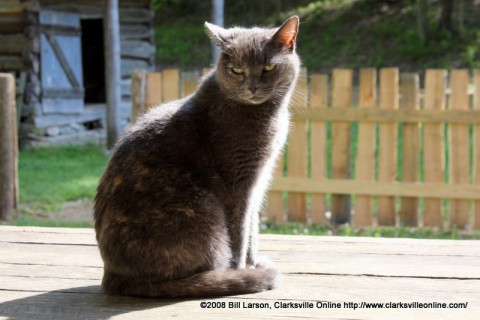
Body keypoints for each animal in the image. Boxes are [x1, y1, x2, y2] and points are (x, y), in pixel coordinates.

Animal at [94, 16, 300, 298]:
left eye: (269, 67)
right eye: (237, 70)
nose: (252, 87)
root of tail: (113, 277)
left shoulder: (259, 182)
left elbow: (253, 230)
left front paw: (252, 263)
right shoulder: (239, 184)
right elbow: (240, 232)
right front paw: (241, 270)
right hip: (202, 208)